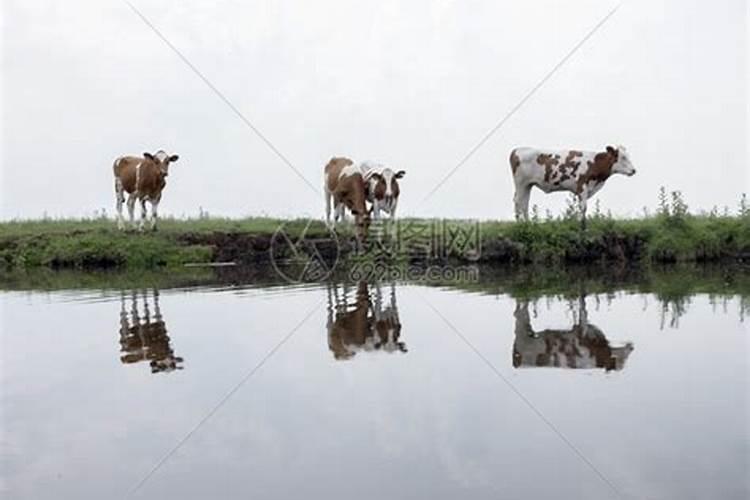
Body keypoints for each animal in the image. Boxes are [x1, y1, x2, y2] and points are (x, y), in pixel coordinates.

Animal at [508, 146, 636, 228]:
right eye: (623, 157)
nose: (634, 170)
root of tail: (516, 150)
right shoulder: (582, 186)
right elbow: (583, 207)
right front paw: (583, 227)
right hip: (521, 183)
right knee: (518, 201)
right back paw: (520, 224)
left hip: (527, 185)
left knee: (524, 202)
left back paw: (527, 223)